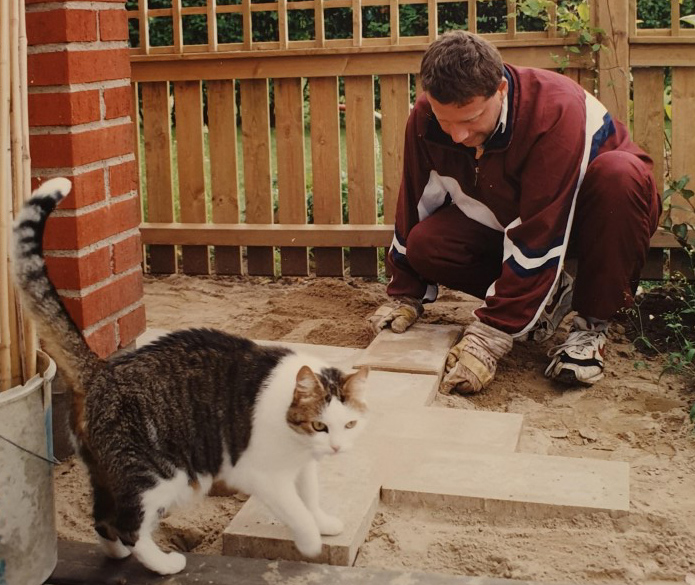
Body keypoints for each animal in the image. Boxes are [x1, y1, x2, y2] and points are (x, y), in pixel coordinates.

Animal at [12, 177, 369, 575]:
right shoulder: (261, 474)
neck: (296, 438)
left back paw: (117, 554)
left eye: (350, 425)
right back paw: (165, 563)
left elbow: (310, 496)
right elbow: (296, 510)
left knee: (102, 519)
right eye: (320, 425)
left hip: (105, 472)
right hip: (157, 473)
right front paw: (310, 542)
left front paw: (323, 522)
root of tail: (102, 369)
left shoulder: (302, 465)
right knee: (128, 524)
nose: (336, 448)